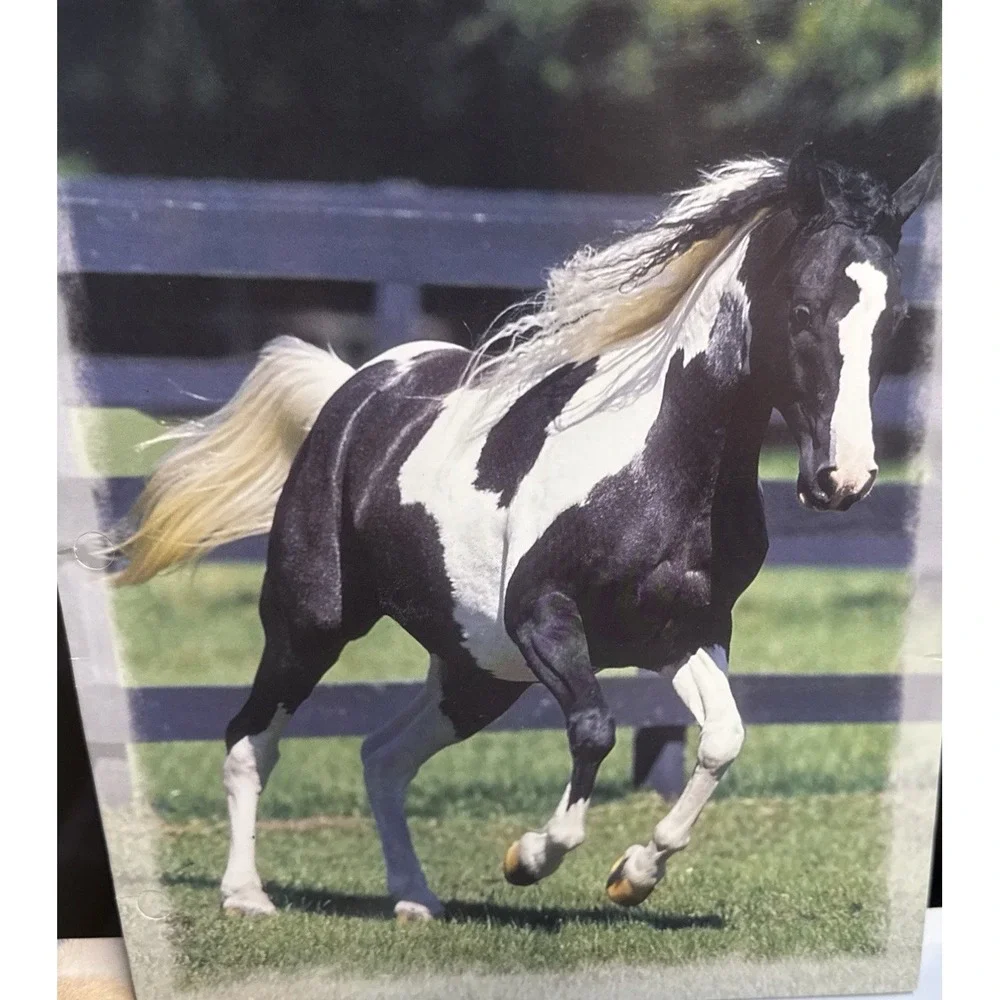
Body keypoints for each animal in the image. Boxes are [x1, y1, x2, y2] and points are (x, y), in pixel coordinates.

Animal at [119, 143, 939, 922]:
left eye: (896, 320)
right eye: (802, 310)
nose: (844, 478)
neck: (661, 464)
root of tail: (353, 390)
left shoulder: (684, 632)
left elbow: (723, 738)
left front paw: (633, 876)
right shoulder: (543, 618)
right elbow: (595, 731)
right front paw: (530, 857)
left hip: (479, 671)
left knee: (382, 757)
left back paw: (415, 898)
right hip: (311, 623)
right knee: (249, 740)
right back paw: (245, 895)